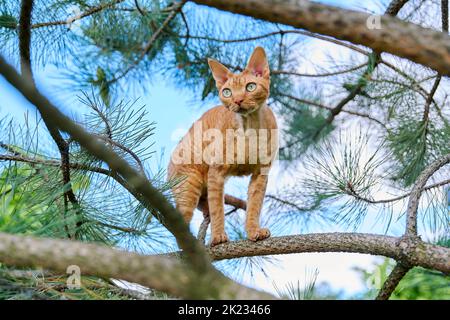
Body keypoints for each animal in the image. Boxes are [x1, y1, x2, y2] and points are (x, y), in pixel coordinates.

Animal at [167, 47, 276, 246]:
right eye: (227, 92)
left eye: (250, 87)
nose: (238, 100)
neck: (251, 127)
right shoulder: (216, 172)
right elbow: (218, 208)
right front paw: (218, 237)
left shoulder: (261, 173)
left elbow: (254, 205)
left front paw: (253, 231)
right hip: (189, 185)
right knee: (181, 220)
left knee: (206, 205)